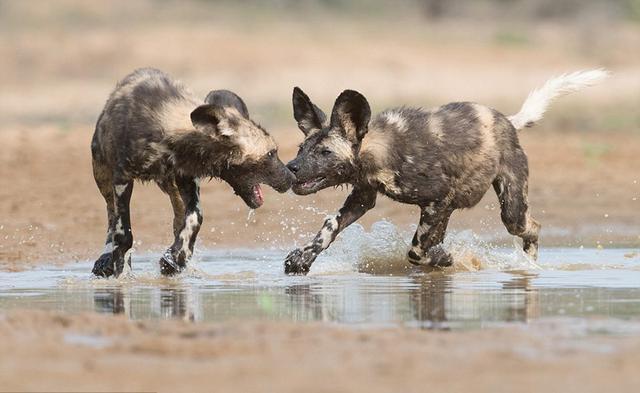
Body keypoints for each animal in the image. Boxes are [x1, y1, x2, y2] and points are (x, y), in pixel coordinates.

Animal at [90, 66, 296, 276]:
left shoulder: (186, 177)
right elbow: (123, 233)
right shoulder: (122, 179)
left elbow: (195, 217)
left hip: (169, 184)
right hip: (103, 177)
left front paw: (176, 258)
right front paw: (122, 272)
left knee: (178, 214)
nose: (292, 177)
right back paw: (106, 258)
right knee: (111, 214)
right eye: (271, 153)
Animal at [286, 69, 608, 274]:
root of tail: (507, 121)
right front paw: (302, 259)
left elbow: (416, 250)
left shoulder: (436, 200)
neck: (381, 150)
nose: (291, 168)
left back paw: (527, 265)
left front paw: (443, 259)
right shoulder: (363, 197)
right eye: (302, 148)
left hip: (511, 210)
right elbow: (329, 227)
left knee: (532, 227)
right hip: (454, 210)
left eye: (325, 153)